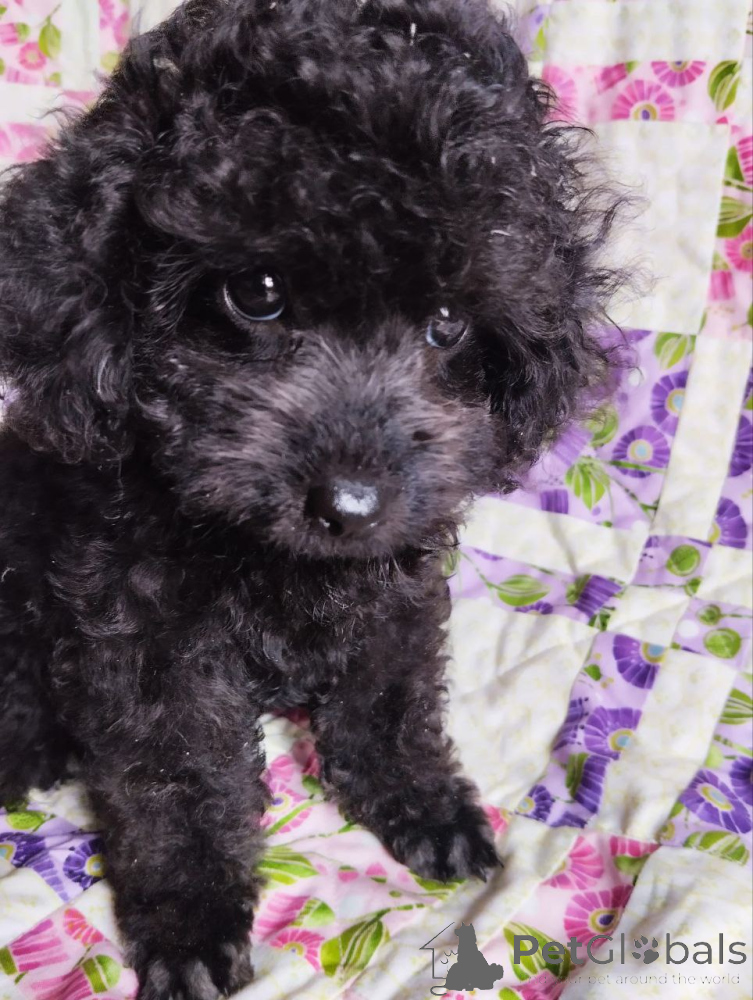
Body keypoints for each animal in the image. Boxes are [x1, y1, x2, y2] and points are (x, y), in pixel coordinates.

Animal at [0, 1, 623, 997]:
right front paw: (190, 923)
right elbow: (179, 780)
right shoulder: (145, 640)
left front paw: (424, 808)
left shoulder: (396, 589)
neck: (272, 556)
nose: (352, 505)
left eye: (447, 323)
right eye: (256, 292)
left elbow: (389, 703)